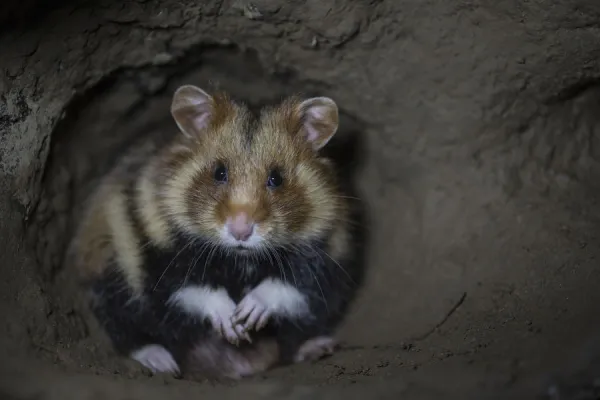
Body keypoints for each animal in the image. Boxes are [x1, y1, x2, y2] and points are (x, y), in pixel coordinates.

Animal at [68, 83, 364, 378]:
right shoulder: (159, 251)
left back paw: (319, 347)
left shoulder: (326, 253)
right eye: (219, 173)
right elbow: (192, 290)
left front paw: (247, 316)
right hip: (110, 271)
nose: (240, 231)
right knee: (126, 330)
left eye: (277, 178)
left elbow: (289, 286)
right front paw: (233, 326)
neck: (241, 258)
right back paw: (162, 363)